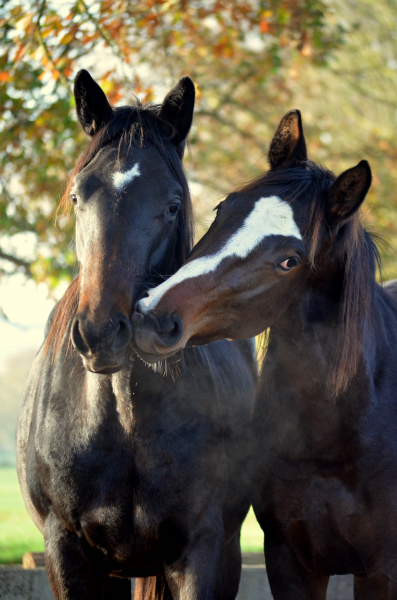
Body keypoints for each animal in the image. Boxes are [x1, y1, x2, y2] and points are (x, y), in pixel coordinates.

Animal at [16, 71, 254, 600]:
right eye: (78, 195)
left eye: (172, 205)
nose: (101, 333)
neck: (122, 421)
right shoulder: (66, 553)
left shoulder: (202, 549)